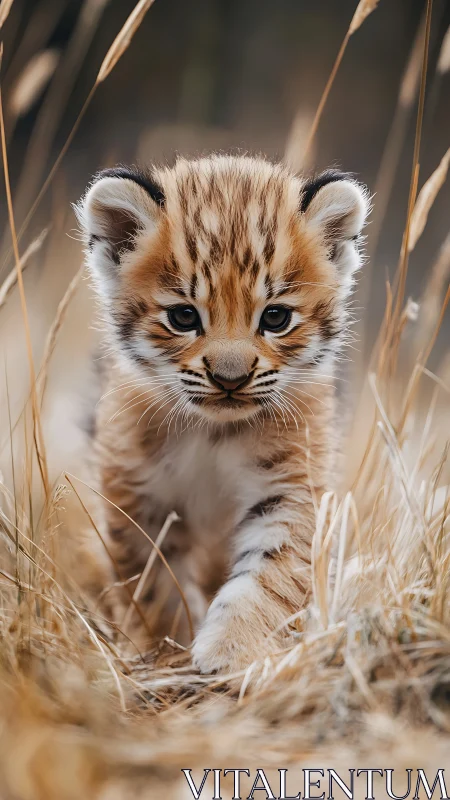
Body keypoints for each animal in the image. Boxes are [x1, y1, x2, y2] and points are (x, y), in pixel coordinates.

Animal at [76, 154, 369, 674]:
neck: (214, 431)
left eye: (275, 318)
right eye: (183, 317)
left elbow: (269, 573)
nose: (230, 379)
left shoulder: (290, 487)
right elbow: (154, 582)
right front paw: (169, 649)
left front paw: (231, 651)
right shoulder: (136, 492)